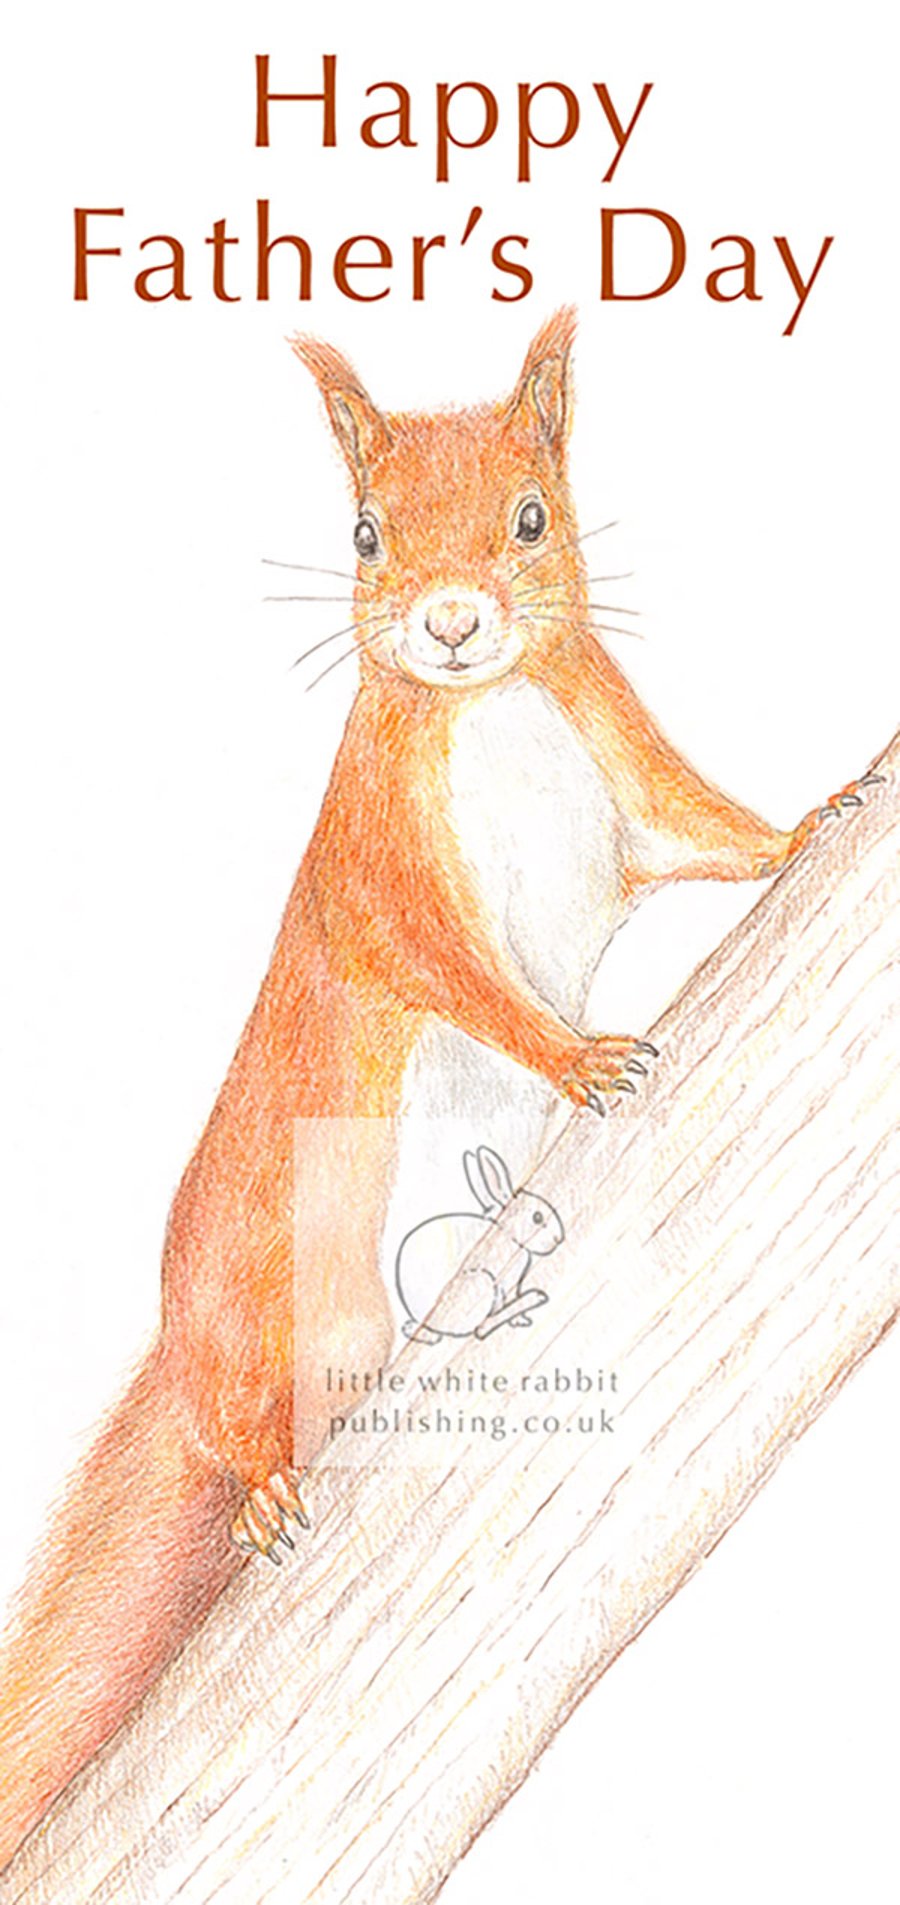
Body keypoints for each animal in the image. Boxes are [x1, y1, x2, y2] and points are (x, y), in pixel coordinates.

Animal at [0, 307, 856, 1867]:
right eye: (364, 533)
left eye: (531, 517)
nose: (451, 621)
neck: (495, 710)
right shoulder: (379, 877)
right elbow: (457, 975)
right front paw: (579, 1055)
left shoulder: (622, 772)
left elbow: (704, 832)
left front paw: (814, 821)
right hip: (249, 1288)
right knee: (228, 1424)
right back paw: (262, 1486)